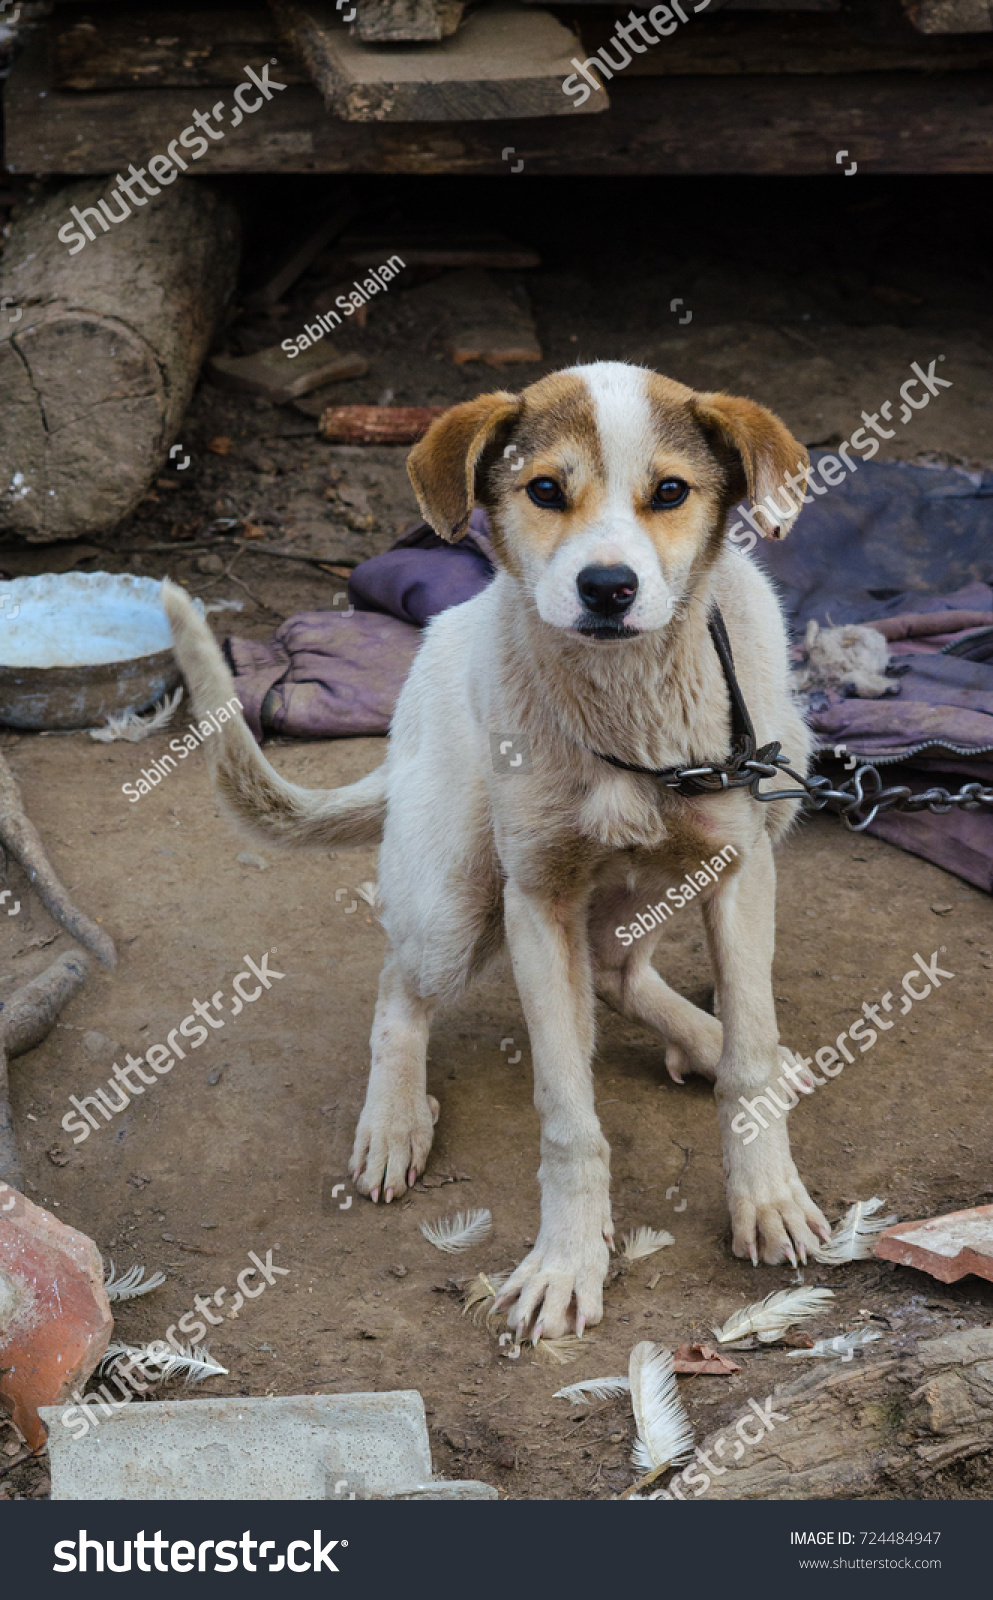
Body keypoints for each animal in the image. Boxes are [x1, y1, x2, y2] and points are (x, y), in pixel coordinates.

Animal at [162, 360, 831, 1337]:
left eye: (670, 492)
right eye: (544, 490)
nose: (606, 588)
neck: (623, 711)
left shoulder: (740, 872)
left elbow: (746, 1064)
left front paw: (768, 1196)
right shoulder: (536, 899)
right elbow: (566, 1113)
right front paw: (566, 1261)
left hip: (767, 782)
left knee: (620, 971)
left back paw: (708, 1041)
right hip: (454, 901)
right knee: (399, 988)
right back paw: (394, 1121)